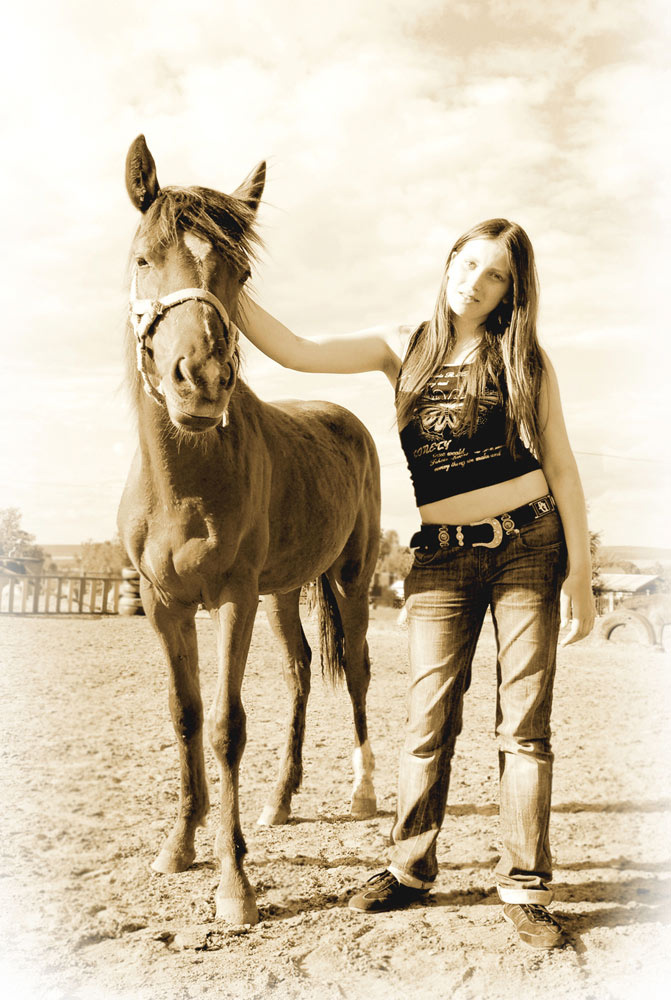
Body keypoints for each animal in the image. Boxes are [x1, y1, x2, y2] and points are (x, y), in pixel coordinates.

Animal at [117, 136, 380, 925]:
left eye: (241, 272)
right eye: (144, 257)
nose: (200, 381)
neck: (184, 484)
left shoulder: (231, 598)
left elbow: (228, 727)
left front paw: (234, 884)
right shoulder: (165, 606)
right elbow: (186, 716)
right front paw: (180, 844)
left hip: (349, 580)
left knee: (356, 670)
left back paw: (362, 792)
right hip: (284, 591)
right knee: (298, 673)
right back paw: (281, 800)